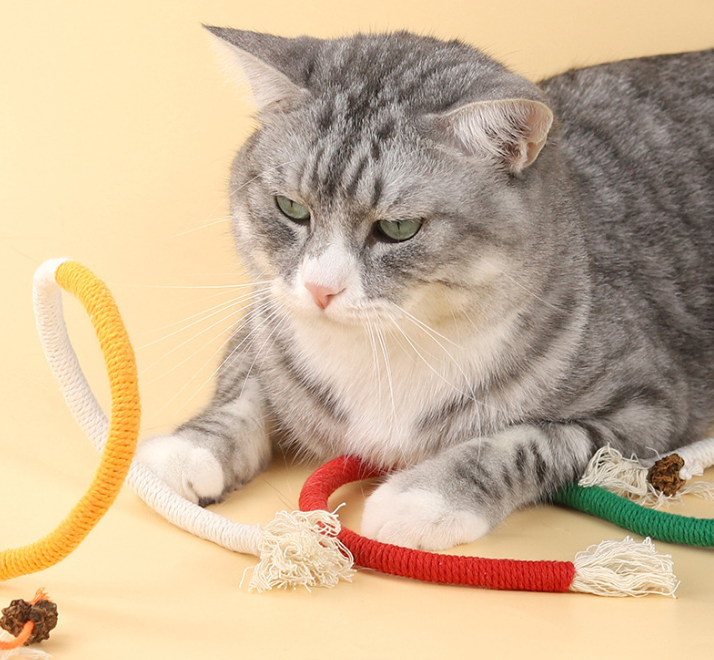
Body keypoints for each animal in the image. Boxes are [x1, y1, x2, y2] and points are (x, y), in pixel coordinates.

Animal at [136, 28, 714, 551]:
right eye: (291, 208)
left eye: (397, 228)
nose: (321, 289)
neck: (386, 348)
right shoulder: (266, 322)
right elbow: (245, 390)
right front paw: (190, 450)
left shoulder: (645, 405)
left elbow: (527, 443)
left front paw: (425, 499)